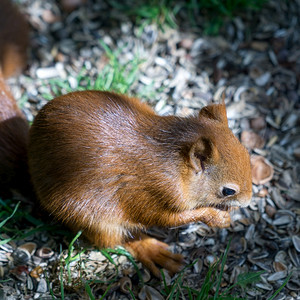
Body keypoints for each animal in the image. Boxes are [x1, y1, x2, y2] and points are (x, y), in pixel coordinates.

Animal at [1, 0, 252, 278]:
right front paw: (216, 216)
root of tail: (29, 169)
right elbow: (166, 218)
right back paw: (152, 250)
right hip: (93, 218)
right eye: (228, 191)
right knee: (118, 240)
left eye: (249, 157)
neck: (173, 160)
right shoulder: (155, 192)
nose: (249, 201)